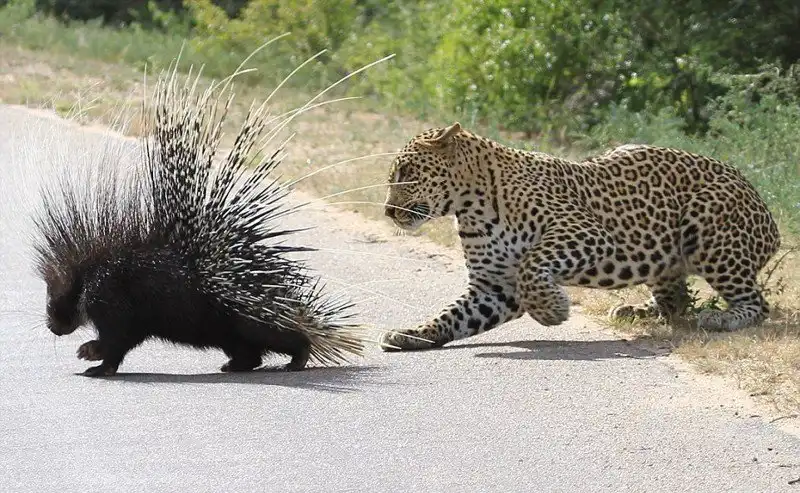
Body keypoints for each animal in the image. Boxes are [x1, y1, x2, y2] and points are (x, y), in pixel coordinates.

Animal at [379, 122, 781, 351]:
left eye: (407, 172)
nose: (386, 211)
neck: (470, 204)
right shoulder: (493, 286)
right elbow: (452, 315)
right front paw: (411, 334)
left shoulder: (585, 231)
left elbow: (532, 262)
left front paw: (552, 310)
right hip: (661, 255)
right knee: (677, 300)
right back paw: (634, 310)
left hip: (708, 223)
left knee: (757, 305)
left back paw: (723, 318)